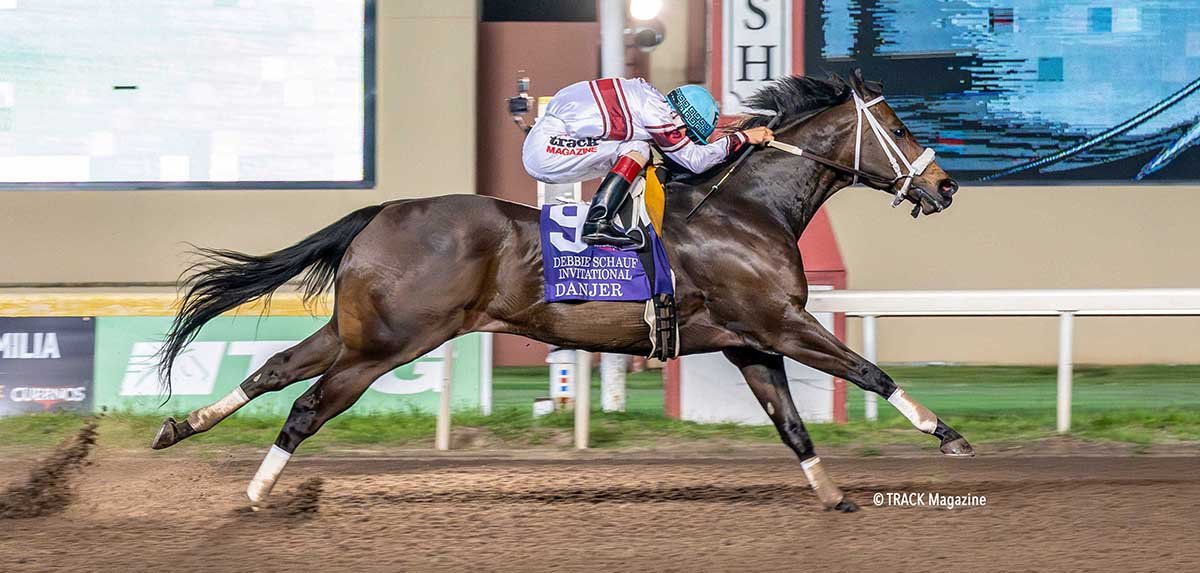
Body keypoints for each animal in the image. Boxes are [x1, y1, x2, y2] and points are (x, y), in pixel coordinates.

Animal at [151, 70, 970, 512]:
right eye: (898, 127)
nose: (945, 185)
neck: (745, 209)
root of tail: (381, 210)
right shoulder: (781, 321)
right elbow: (869, 370)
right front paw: (949, 434)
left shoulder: (750, 343)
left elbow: (794, 426)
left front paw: (832, 494)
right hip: (391, 343)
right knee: (306, 406)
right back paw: (255, 494)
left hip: (359, 330)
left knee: (272, 371)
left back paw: (183, 426)